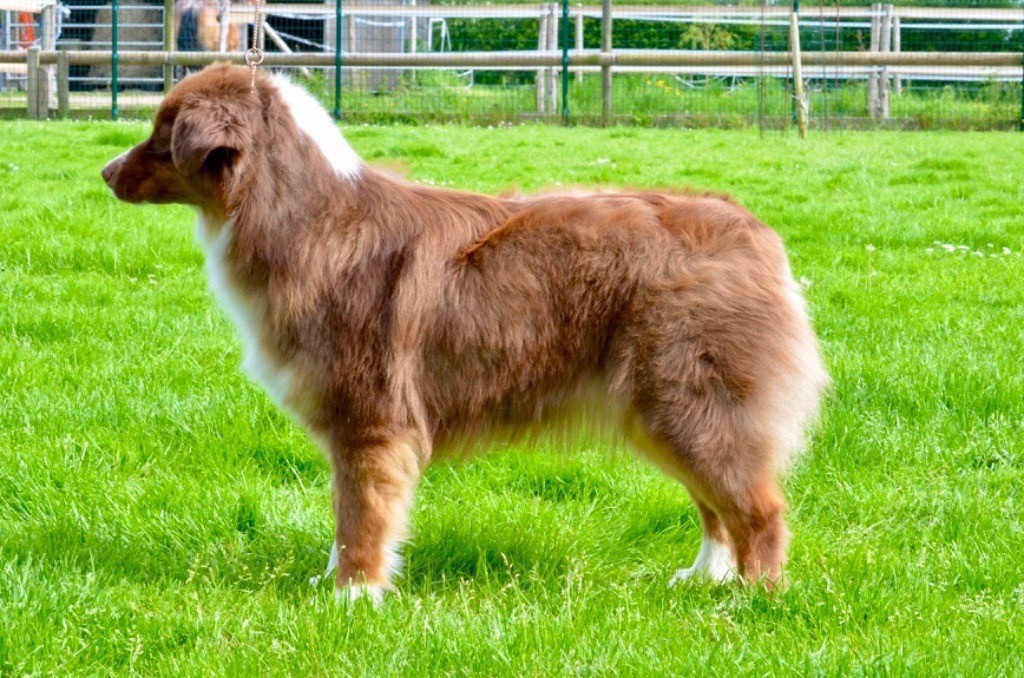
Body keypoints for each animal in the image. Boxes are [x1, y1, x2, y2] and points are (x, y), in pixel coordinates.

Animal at [101, 65, 823, 606]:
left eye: (162, 131)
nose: (105, 172)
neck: (305, 216)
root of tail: (755, 230)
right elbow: (343, 515)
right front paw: (333, 583)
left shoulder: (369, 415)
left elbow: (360, 514)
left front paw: (351, 597)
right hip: (665, 412)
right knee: (717, 505)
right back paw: (703, 579)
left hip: (690, 402)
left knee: (759, 508)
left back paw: (751, 600)